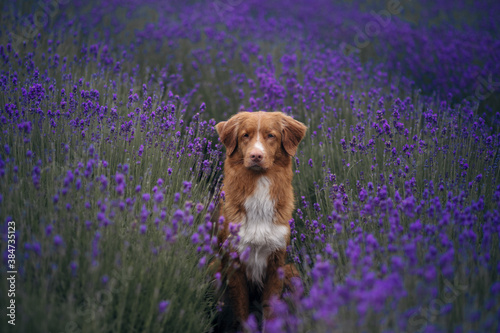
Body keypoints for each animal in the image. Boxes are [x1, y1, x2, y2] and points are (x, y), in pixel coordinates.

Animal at [214, 111, 306, 330]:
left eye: (271, 135)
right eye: (245, 136)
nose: (256, 155)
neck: (259, 183)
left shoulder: (276, 263)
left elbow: (270, 311)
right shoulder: (235, 263)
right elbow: (242, 313)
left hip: (292, 271)